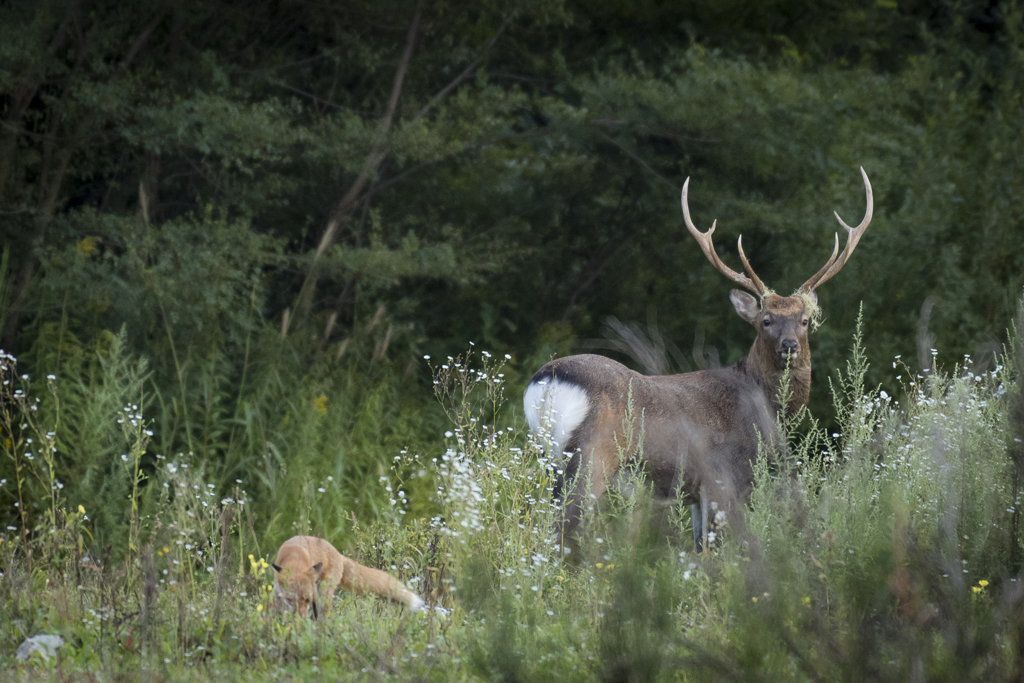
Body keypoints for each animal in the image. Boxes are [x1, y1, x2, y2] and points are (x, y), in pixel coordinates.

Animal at [272, 532, 423, 618]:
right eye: (292, 599)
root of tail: (338, 554)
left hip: (323, 594)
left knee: (324, 615)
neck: (295, 556)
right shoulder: (277, 591)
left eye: (307, 600)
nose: (302, 617)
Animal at [528, 167, 872, 552]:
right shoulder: (723, 478)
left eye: (805, 320)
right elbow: (717, 552)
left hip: (549, 457)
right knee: (562, 529)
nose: (789, 346)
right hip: (592, 456)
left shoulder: (693, 493)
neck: (761, 408)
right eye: (765, 320)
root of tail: (548, 378)